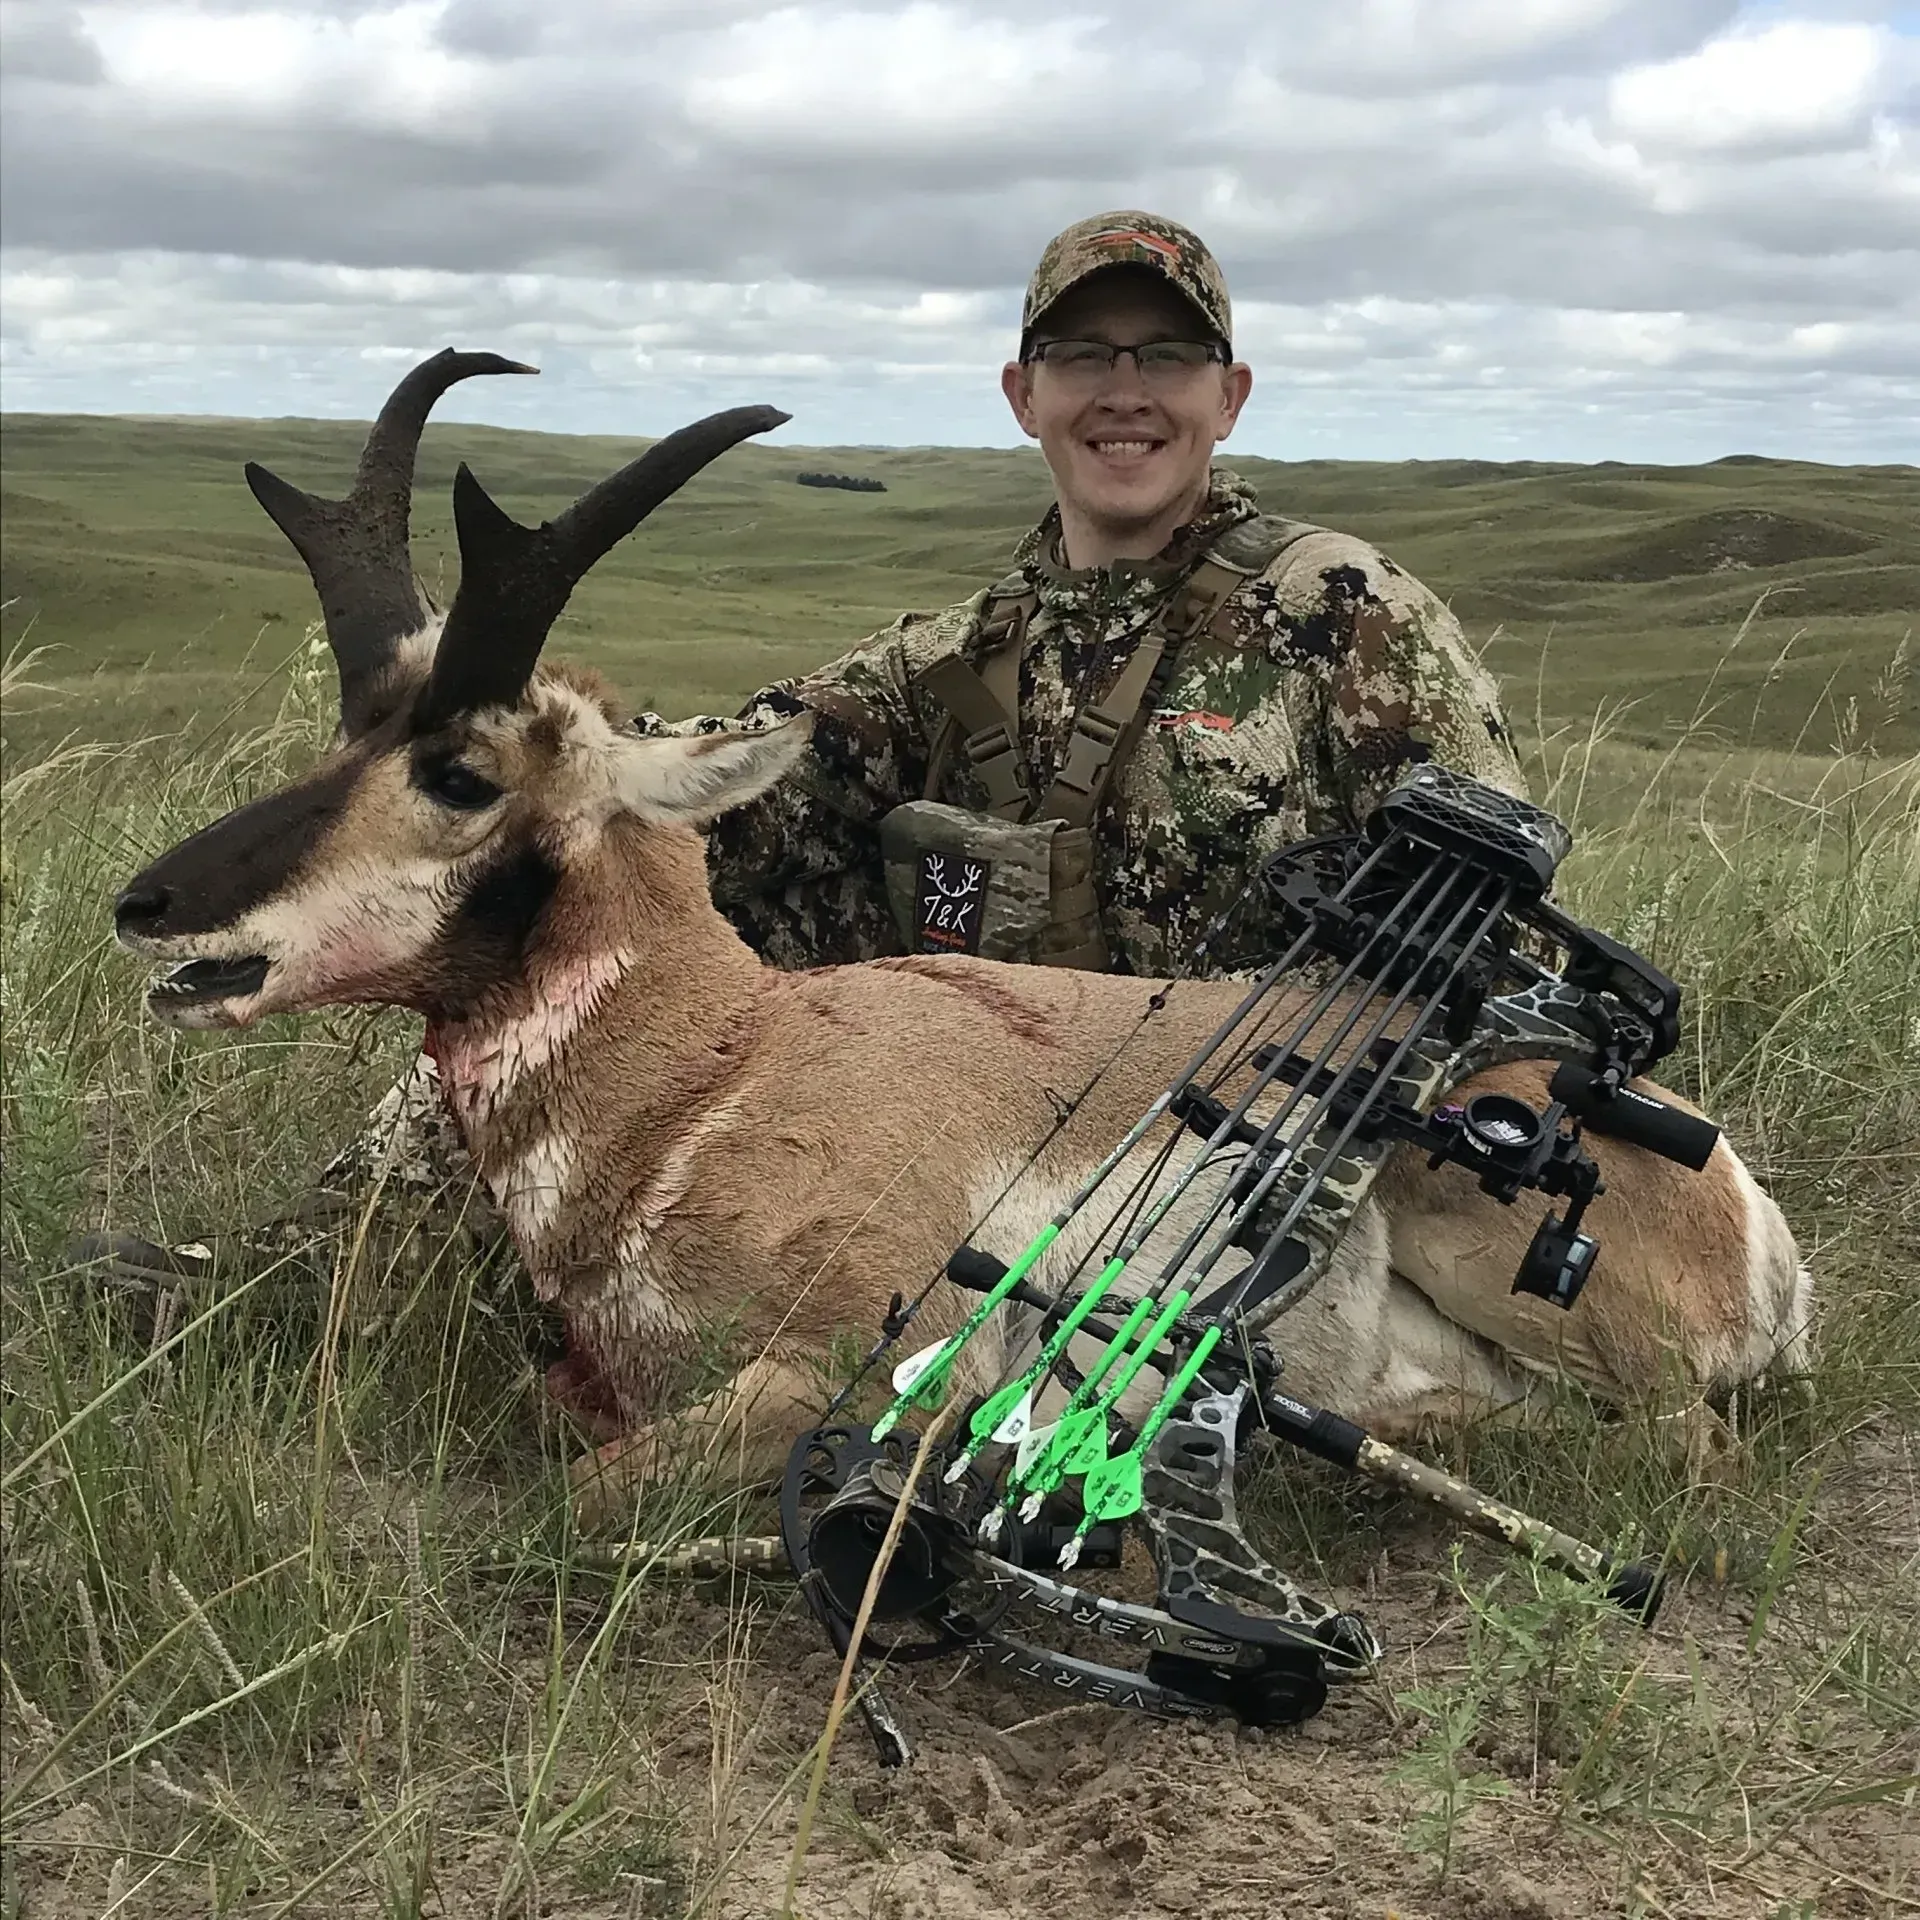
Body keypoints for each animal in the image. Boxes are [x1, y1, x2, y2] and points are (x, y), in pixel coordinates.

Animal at [112, 353, 1815, 1524]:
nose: (148, 906)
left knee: (1682, 1449)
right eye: (353, 728)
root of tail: (1735, 1191)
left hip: (1482, 1213)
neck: (715, 1069)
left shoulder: (848, 1367)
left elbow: (576, 1502)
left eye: (462, 772)